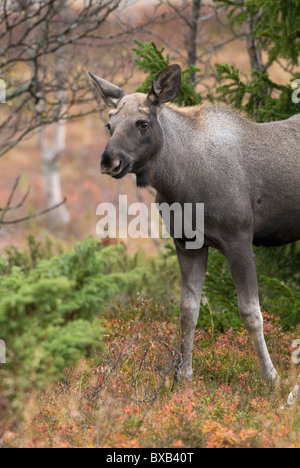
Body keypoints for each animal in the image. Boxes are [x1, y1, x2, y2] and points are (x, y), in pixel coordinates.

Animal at [89, 64, 300, 404]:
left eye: (143, 122)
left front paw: (273, 379)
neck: (181, 184)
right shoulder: (188, 243)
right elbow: (188, 310)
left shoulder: (239, 238)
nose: (110, 160)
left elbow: (251, 313)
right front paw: (183, 376)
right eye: (109, 124)